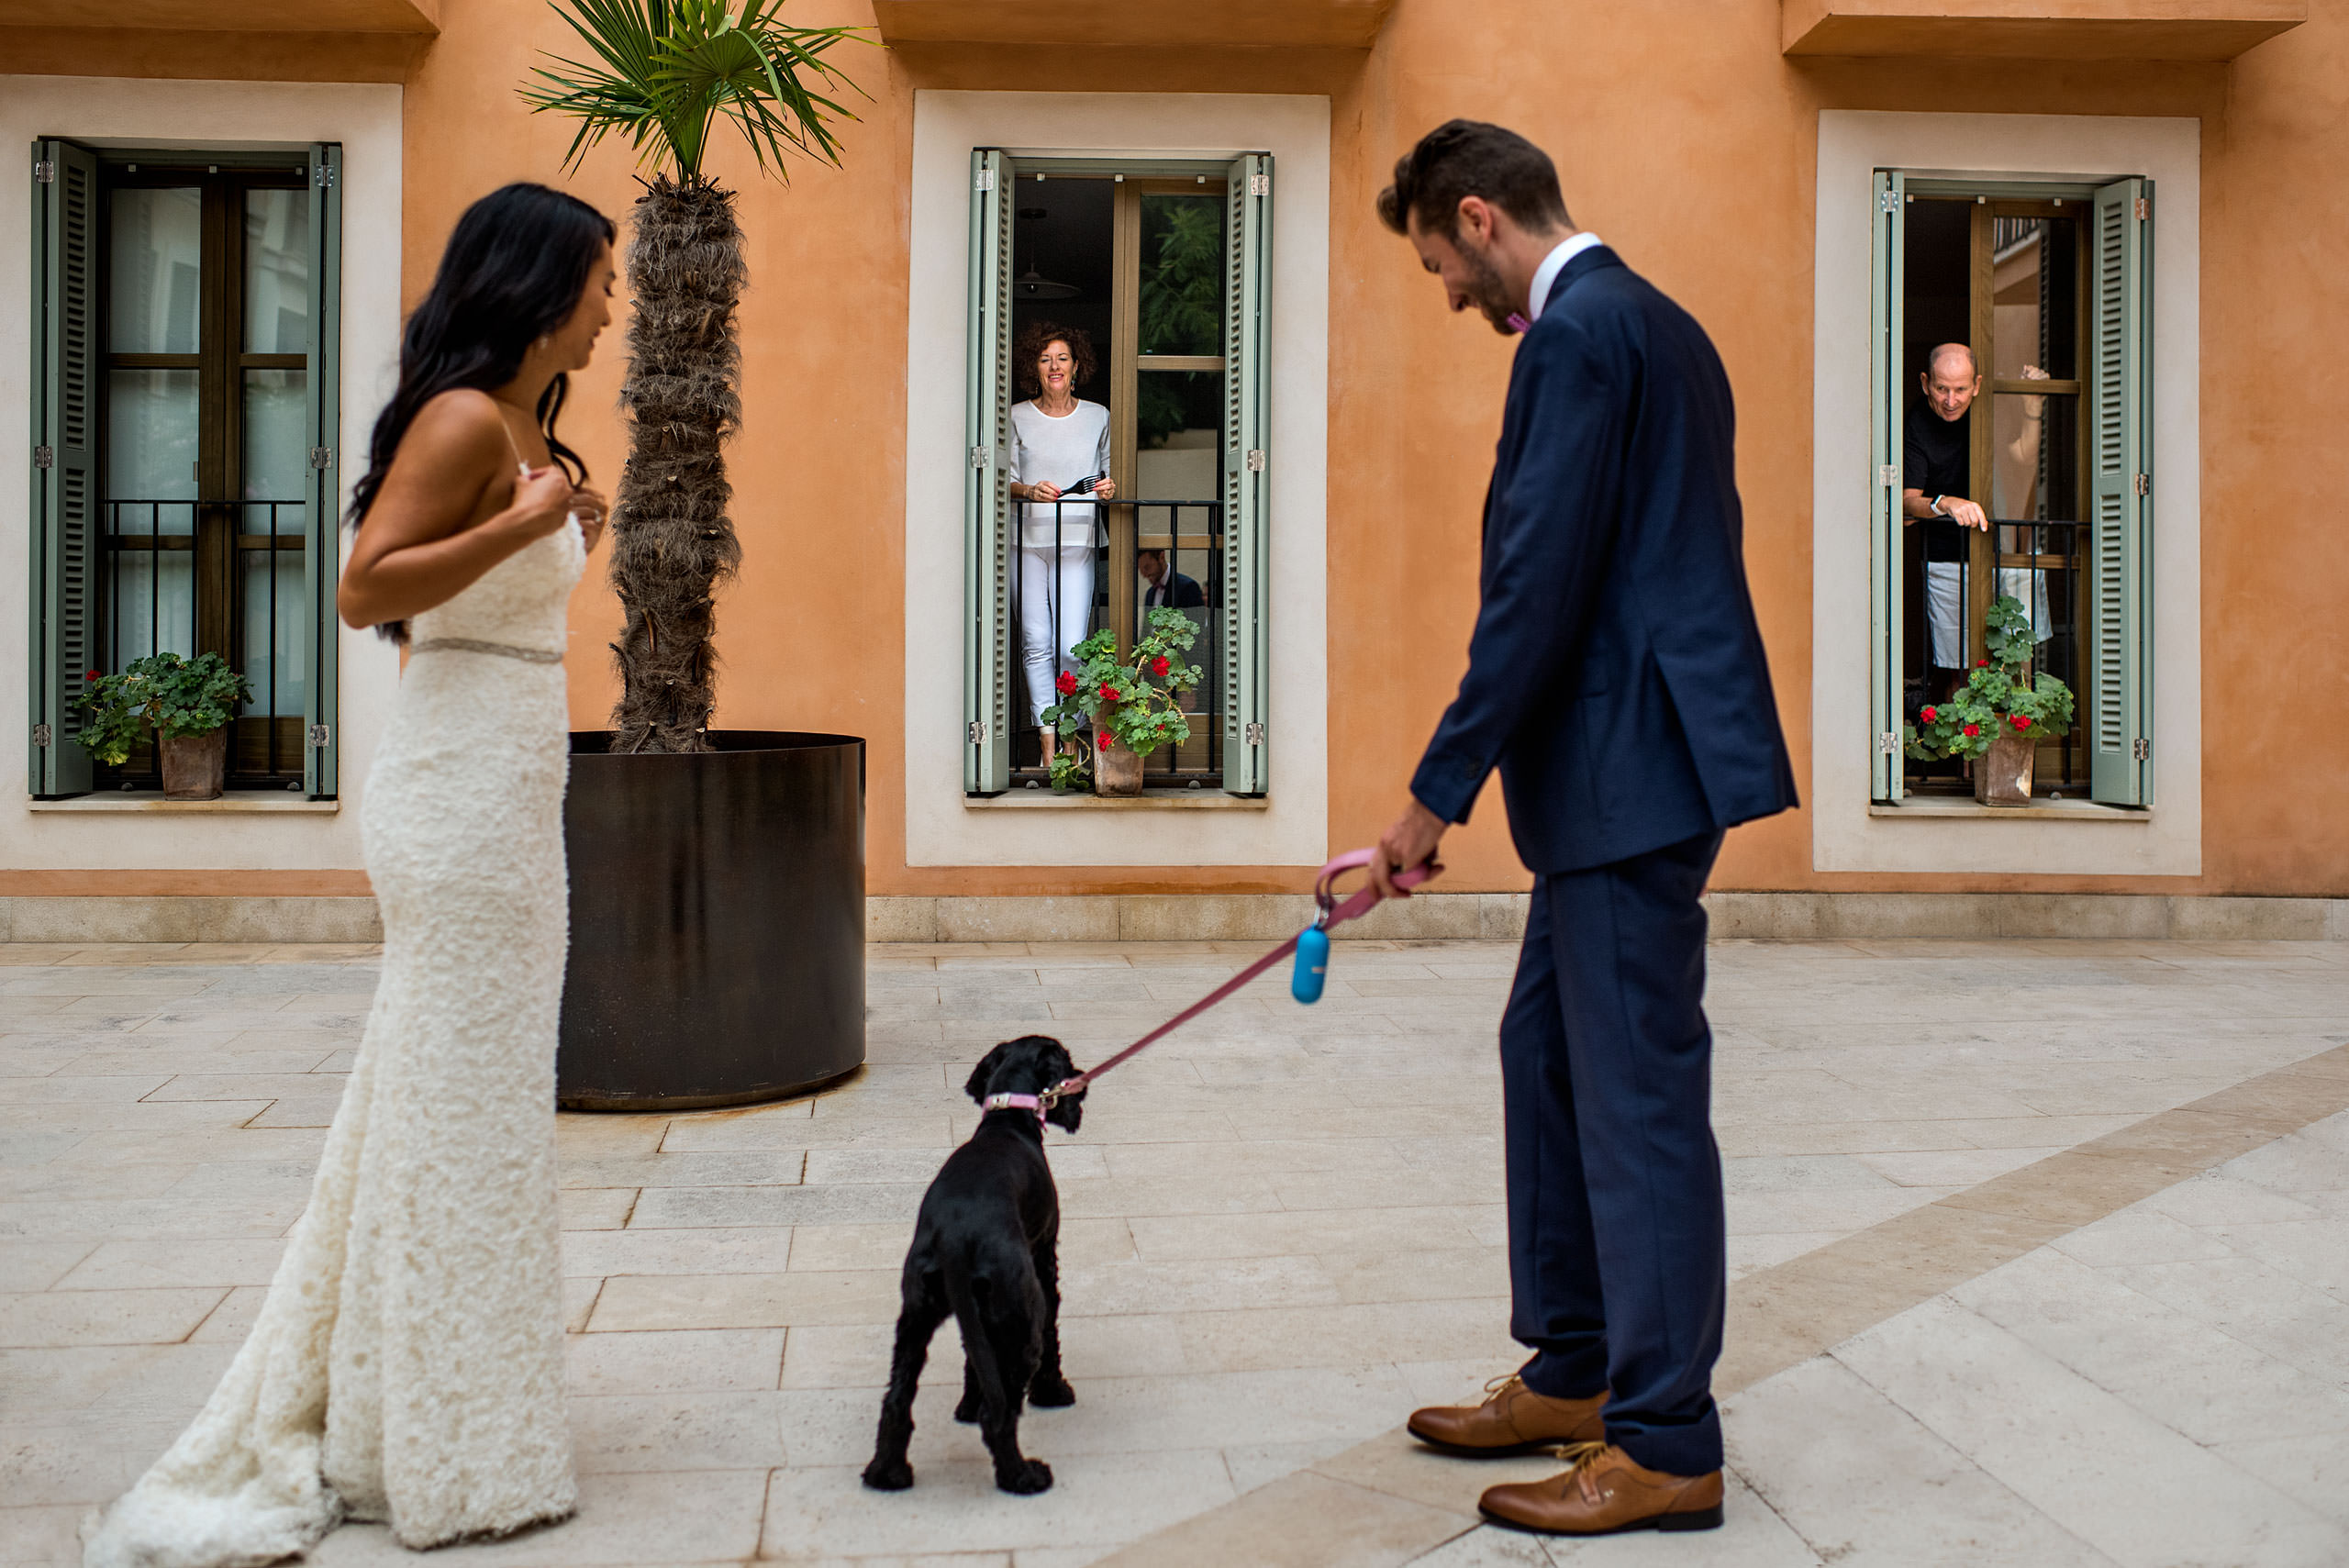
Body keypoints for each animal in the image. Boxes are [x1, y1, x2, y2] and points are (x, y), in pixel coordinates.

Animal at [864, 1028, 1080, 1493]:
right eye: (1065, 1058)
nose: (1080, 1080)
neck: (1007, 1123)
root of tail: (954, 1237)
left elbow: (976, 1356)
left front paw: (965, 1402)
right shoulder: (1044, 1259)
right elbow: (1052, 1333)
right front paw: (1053, 1393)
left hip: (915, 1317)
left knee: (896, 1401)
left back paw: (887, 1474)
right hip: (1020, 1313)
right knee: (1000, 1413)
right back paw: (1022, 1475)